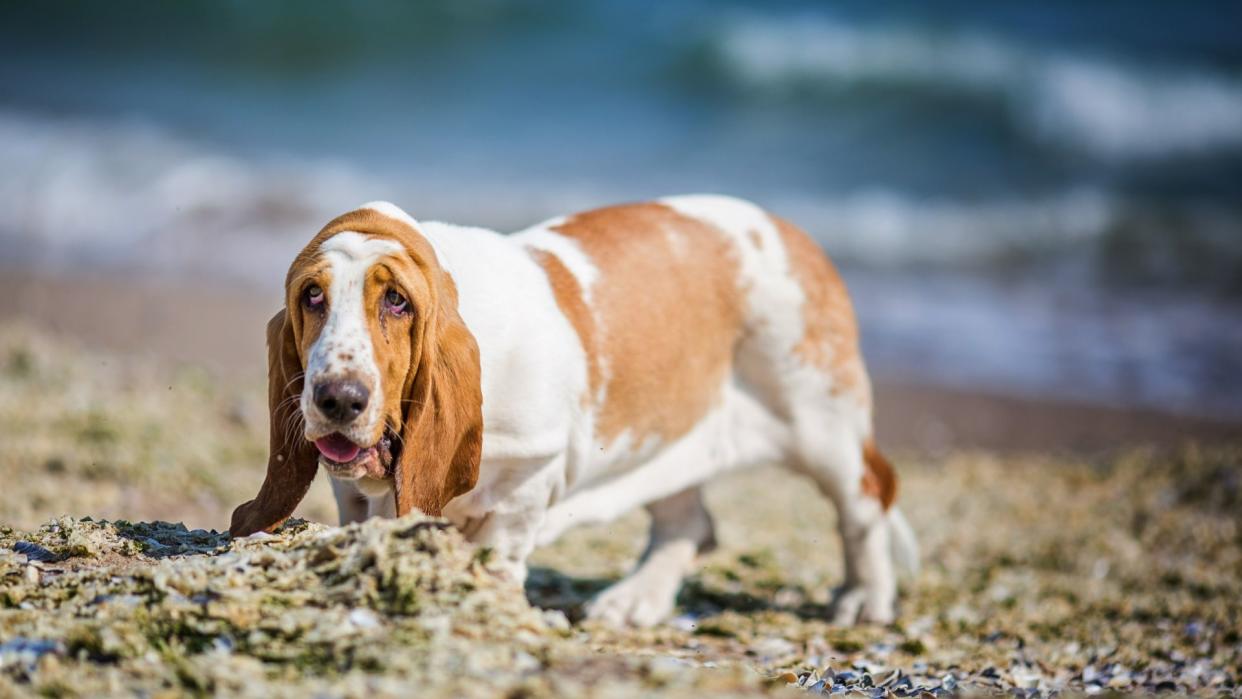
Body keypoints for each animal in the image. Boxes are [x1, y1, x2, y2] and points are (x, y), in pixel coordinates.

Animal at [231, 193, 914, 625]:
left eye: (397, 301)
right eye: (311, 295)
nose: (338, 399)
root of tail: (793, 234)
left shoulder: (530, 471)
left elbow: (501, 544)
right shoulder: (353, 490)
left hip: (820, 425)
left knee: (866, 499)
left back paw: (865, 600)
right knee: (688, 523)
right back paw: (634, 601)